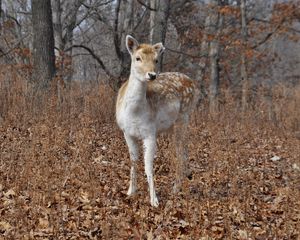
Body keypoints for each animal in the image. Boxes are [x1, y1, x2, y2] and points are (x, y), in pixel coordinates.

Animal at [115, 35, 199, 206]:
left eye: (156, 59)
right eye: (137, 58)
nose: (152, 75)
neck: (134, 113)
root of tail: (194, 84)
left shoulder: (150, 133)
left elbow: (148, 166)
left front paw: (154, 200)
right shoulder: (127, 133)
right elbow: (133, 161)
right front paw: (130, 192)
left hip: (184, 117)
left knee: (180, 152)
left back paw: (176, 188)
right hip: (172, 126)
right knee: (184, 148)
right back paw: (188, 174)